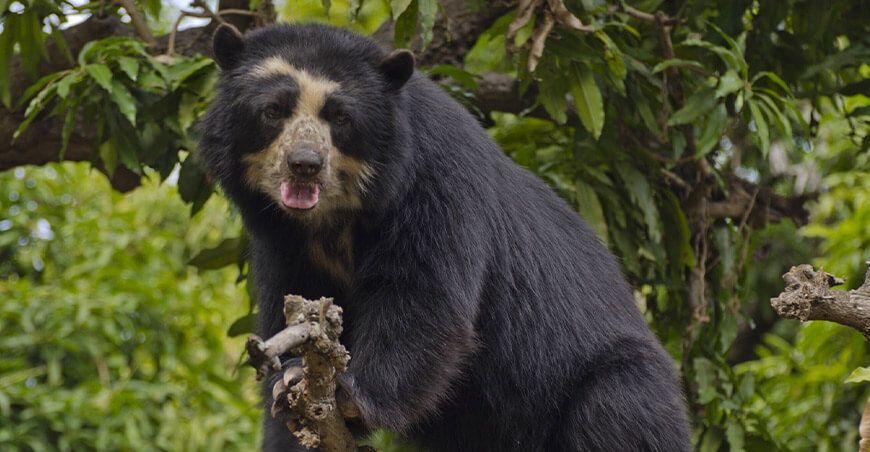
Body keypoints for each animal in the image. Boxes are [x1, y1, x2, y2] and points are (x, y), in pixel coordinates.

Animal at [198, 22, 691, 452]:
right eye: (273, 111)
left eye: (340, 118)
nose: (304, 164)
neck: (336, 218)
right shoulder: (281, 241)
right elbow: (296, 304)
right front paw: (292, 384)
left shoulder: (436, 184)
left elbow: (424, 297)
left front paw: (351, 396)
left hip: (612, 384)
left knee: (614, 412)